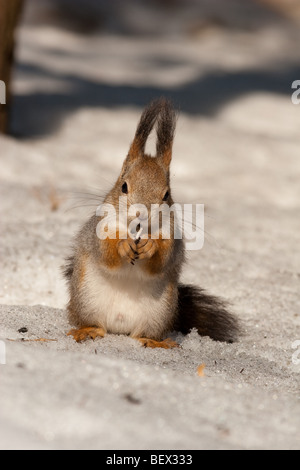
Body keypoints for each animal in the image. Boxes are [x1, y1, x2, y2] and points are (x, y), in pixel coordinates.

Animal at [62, 98, 239, 348]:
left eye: (166, 195)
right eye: (123, 186)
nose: (142, 214)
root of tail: (120, 326)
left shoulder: (172, 238)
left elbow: (161, 261)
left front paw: (151, 247)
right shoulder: (98, 230)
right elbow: (106, 254)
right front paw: (123, 245)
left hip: (159, 312)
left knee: (142, 334)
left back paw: (154, 342)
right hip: (86, 300)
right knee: (95, 323)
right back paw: (87, 330)